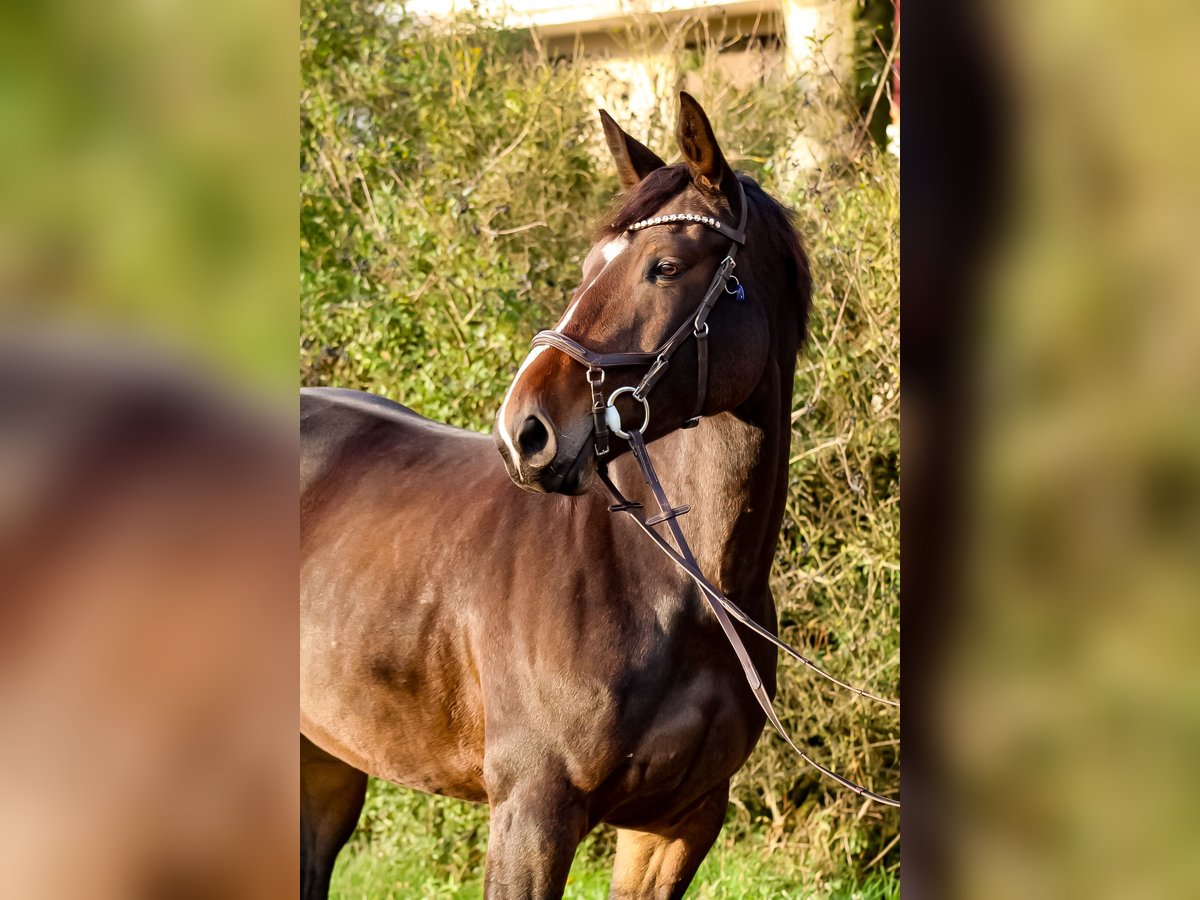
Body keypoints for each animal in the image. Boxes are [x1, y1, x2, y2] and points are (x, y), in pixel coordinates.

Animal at [302, 95, 816, 897]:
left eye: (667, 266)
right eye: (586, 268)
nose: (526, 431)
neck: (680, 585)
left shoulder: (680, 823)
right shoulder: (533, 813)